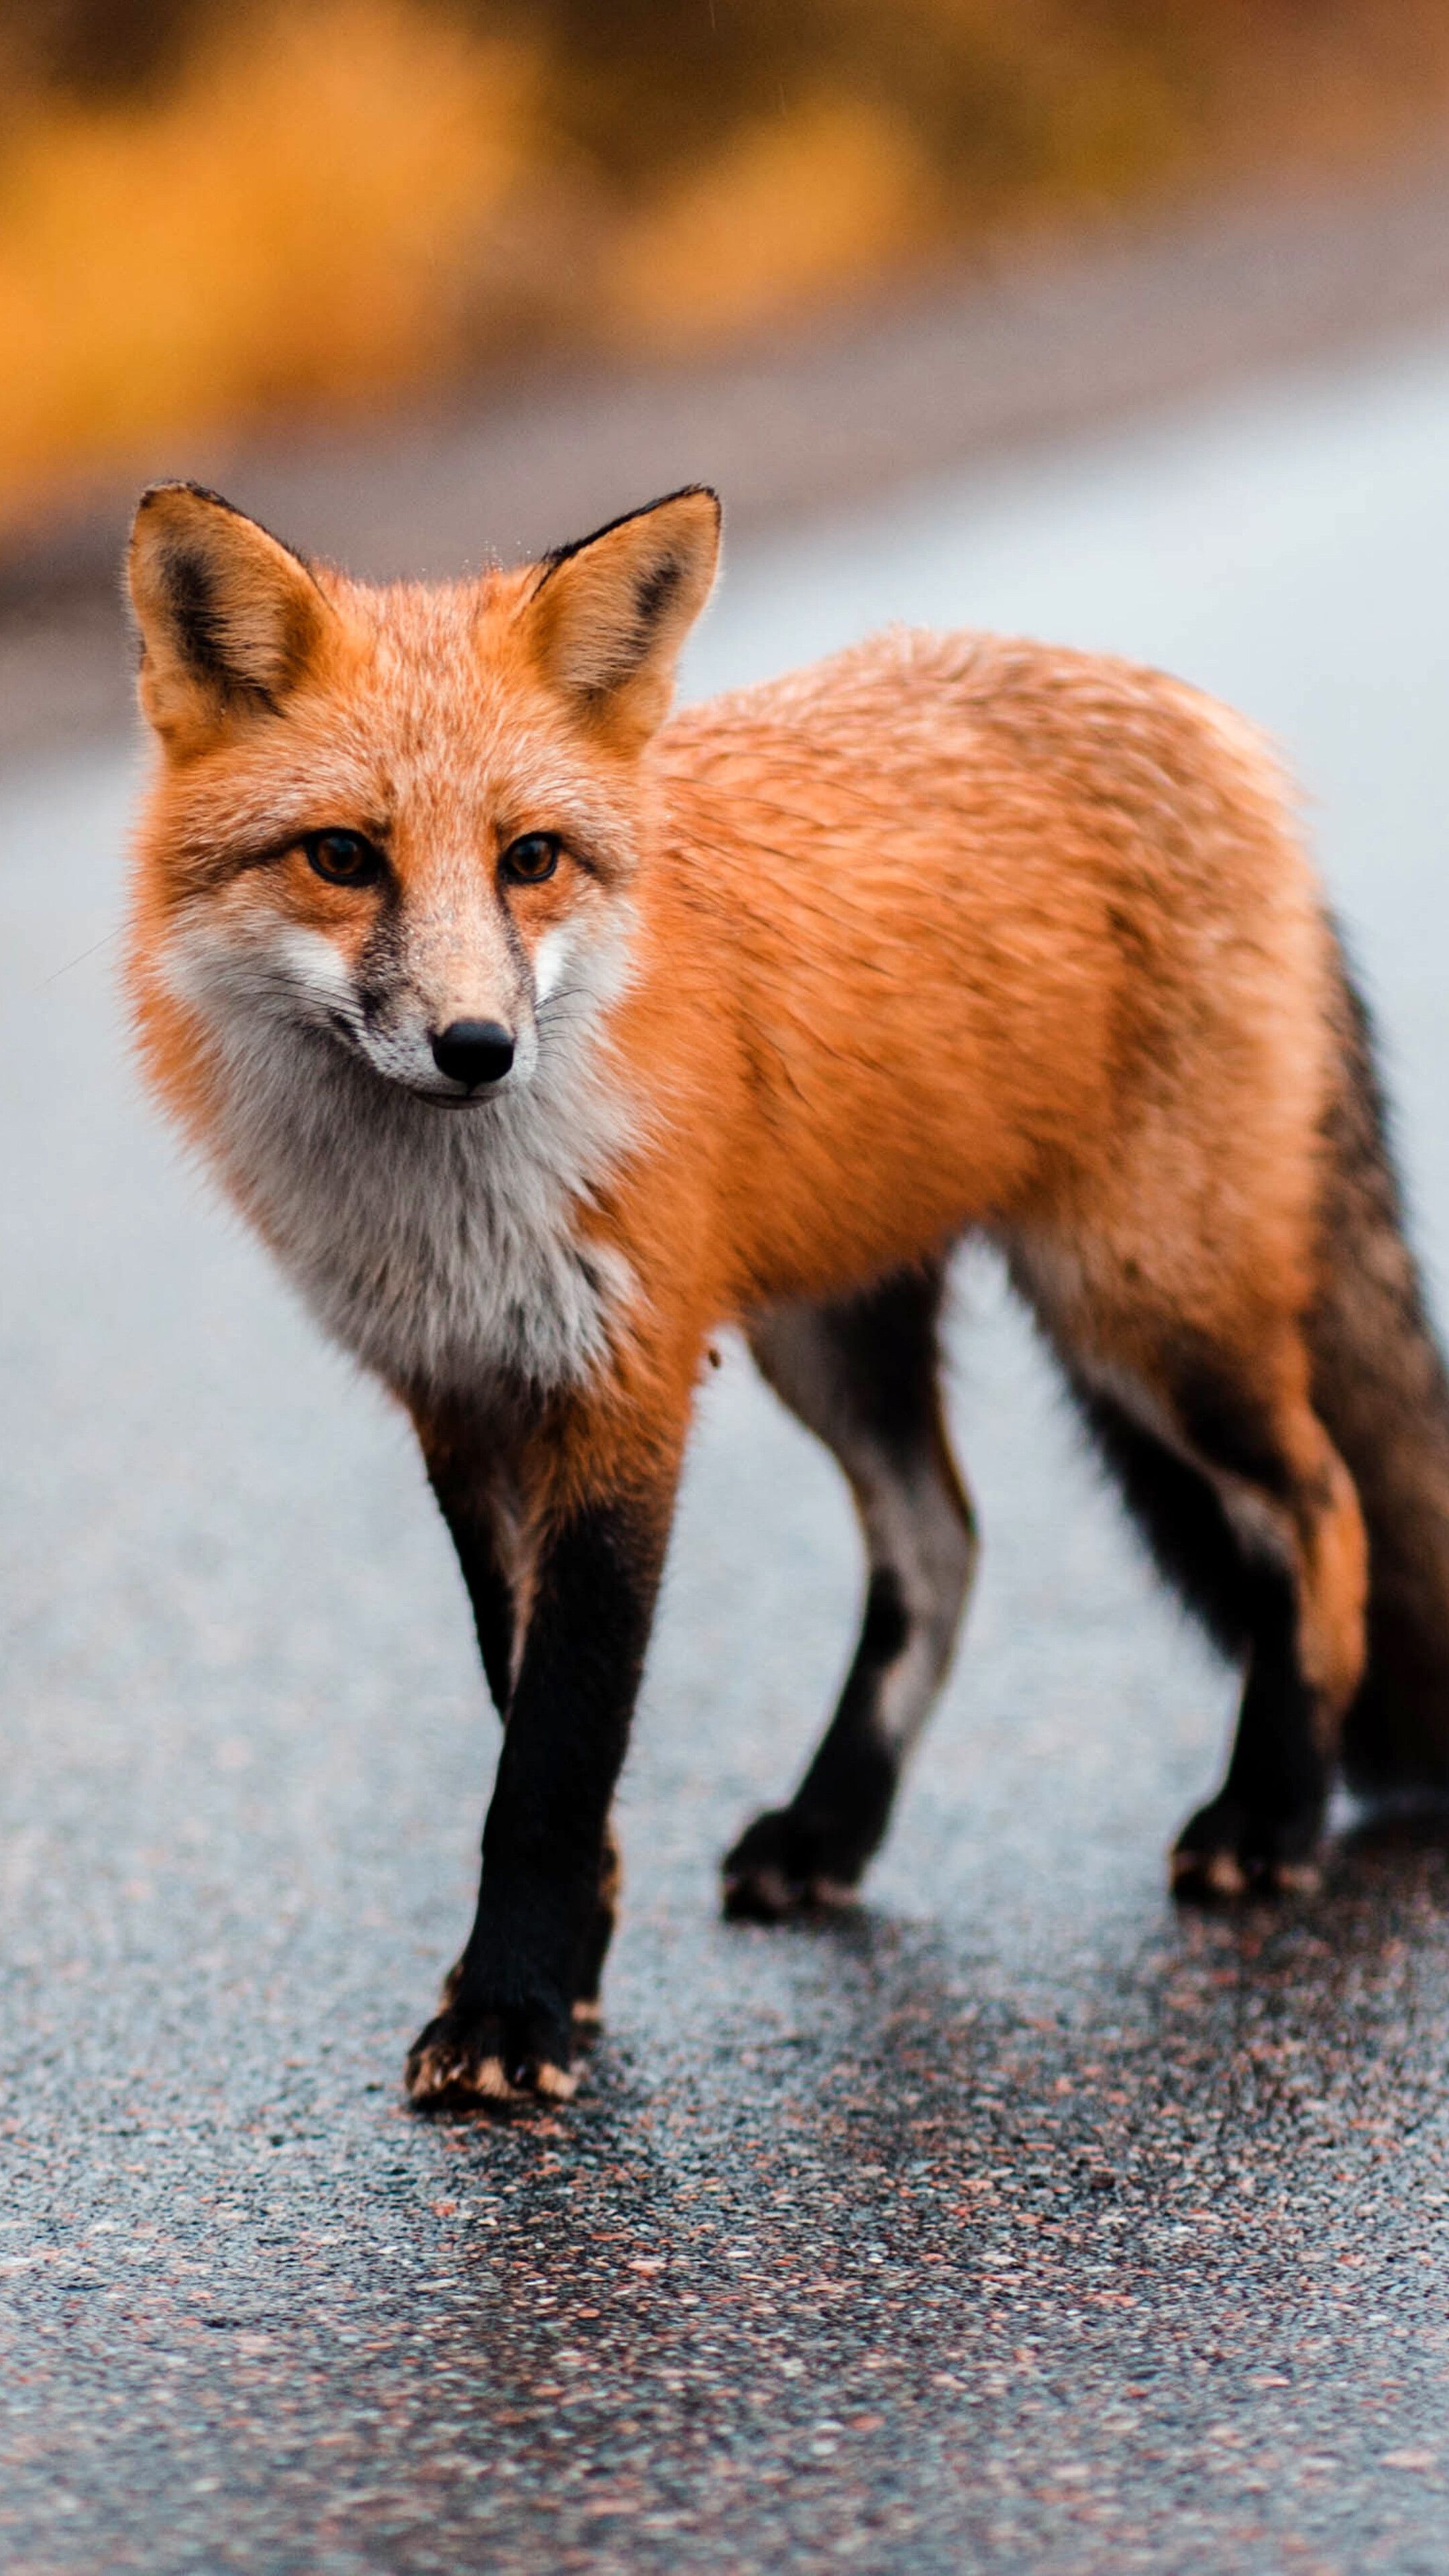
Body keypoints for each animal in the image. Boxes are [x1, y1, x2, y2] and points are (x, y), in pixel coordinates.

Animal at [124, 477, 1449, 2108]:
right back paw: (834, 1829)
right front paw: (568, 1968)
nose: (479, 1048)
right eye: (343, 858)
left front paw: (512, 2009)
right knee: (943, 1546)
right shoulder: (462, 1398)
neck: (453, 1210)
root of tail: (1195, 715)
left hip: (1142, 1305)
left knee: (1319, 1510)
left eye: (529, 859)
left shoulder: (624, 1390)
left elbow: (555, 1755)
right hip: (833, 1337)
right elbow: (522, 1711)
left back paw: (1271, 1813)